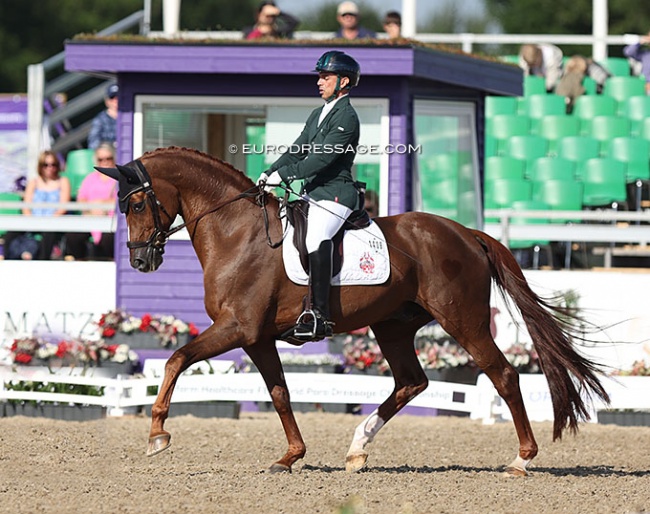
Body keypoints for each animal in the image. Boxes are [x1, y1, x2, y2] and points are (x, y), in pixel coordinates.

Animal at [97, 146, 608, 474]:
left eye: (137, 203)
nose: (141, 261)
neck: (236, 231)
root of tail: (467, 233)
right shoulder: (257, 337)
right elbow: (280, 393)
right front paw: (291, 456)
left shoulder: (236, 328)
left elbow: (176, 359)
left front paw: (157, 435)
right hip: (393, 325)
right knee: (411, 382)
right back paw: (358, 448)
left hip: (462, 320)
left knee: (502, 375)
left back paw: (522, 458)